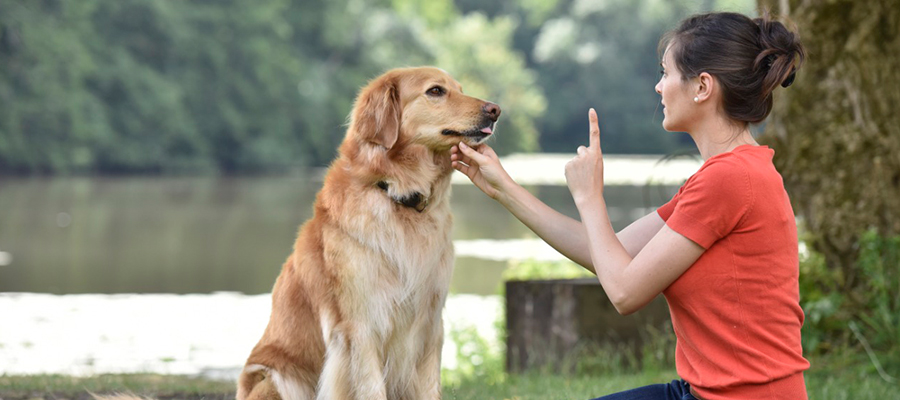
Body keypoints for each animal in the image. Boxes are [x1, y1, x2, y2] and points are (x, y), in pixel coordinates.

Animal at [236, 66, 500, 400]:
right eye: (436, 91)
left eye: (460, 89)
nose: (495, 110)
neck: (396, 193)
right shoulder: (360, 327)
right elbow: (371, 388)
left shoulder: (430, 324)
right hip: (275, 379)